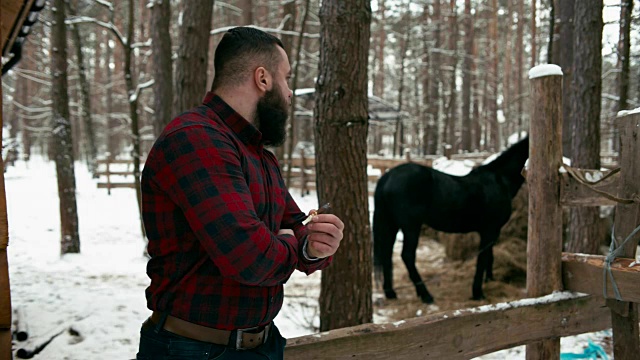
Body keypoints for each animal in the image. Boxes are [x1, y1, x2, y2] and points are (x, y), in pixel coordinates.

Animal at [372, 136, 528, 302]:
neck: (499, 179)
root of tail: (388, 176)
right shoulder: (489, 230)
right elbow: (482, 259)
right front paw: (477, 292)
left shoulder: (492, 230)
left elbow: (489, 256)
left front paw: (489, 280)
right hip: (411, 227)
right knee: (407, 256)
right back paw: (426, 295)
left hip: (392, 225)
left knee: (387, 254)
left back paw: (391, 293)